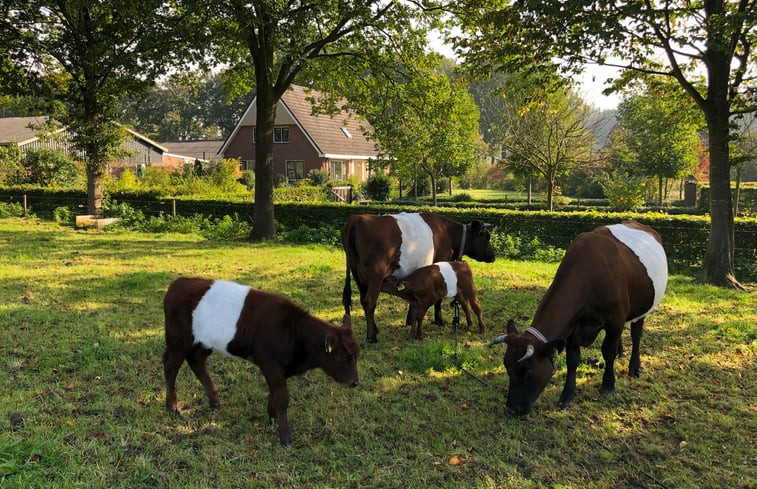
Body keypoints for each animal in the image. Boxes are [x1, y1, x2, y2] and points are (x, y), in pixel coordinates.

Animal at [162, 276, 360, 444]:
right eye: (343, 357)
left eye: (357, 355)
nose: (355, 382)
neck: (292, 331)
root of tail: (178, 283)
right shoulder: (271, 365)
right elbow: (282, 398)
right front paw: (285, 436)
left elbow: (274, 394)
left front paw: (271, 417)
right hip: (178, 338)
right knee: (171, 366)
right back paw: (172, 406)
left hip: (205, 341)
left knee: (196, 362)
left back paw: (214, 400)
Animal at [342, 212, 496, 342]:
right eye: (487, 237)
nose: (493, 256)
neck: (447, 232)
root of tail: (358, 218)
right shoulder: (439, 263)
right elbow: (438, 299)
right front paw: (439, 321)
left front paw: (410, 321)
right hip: (375, 275)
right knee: (370, 302)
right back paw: (372, 336)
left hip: (358, 276)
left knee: (363, 300)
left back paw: (375, 329)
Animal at [488, 221, 664, 416]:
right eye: (507, 367)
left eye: (528, 371)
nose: (513, 409)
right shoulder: (573, 326)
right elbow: (572, 360)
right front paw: (567, 395)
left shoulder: (615, 320)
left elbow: (608, 352)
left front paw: (608, 385)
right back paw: (621, 352)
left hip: (643, 308)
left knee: (636, 334)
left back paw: (634, 367)